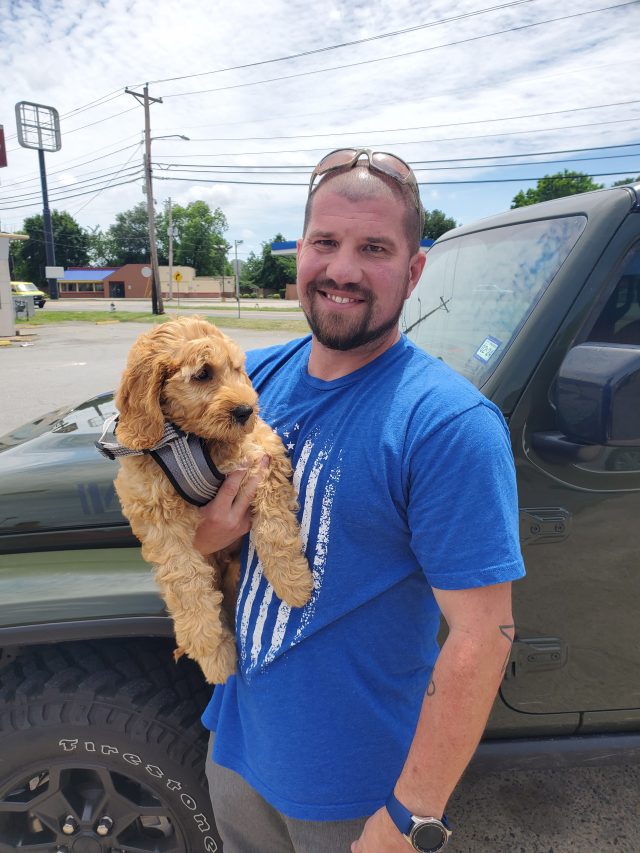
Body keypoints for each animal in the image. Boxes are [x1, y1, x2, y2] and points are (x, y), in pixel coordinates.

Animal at [111, 316, 314, 684]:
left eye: (237, 369)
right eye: (203, 373)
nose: (246, 411)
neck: (186, 439)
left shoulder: (264, 455)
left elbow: (274, 527)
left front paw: (293, 582)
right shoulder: (153, 513)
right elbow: (184, 576)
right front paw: (205, 641)